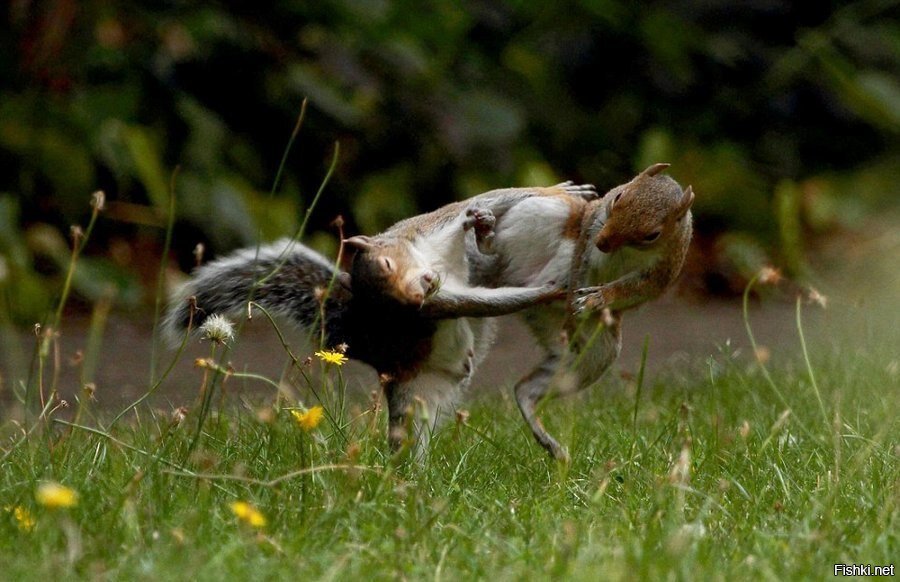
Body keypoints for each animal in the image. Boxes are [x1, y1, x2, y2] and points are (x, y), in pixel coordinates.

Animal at [163, 182, 596, 456]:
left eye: (388, 263)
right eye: (394, 311)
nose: (417, 295)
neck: (431, 261)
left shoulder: (439, 224)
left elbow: (489, 201)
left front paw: (565, 191)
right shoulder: (442, 300)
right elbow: (481, 302)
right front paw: (551, 289)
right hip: (410, 396)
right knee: (406, 440)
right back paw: (406, 485)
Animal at [468, 163, 692, 460]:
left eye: (652, 234)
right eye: (618, 196)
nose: (603, 242)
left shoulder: (660, 272)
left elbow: (630, 290)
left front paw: (597, 298)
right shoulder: (590, 230)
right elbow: (580, 263)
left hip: (593, 353)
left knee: (525, 389)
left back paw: (546, 437)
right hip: (545, 214)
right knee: (498, 252)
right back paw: (485, 234)